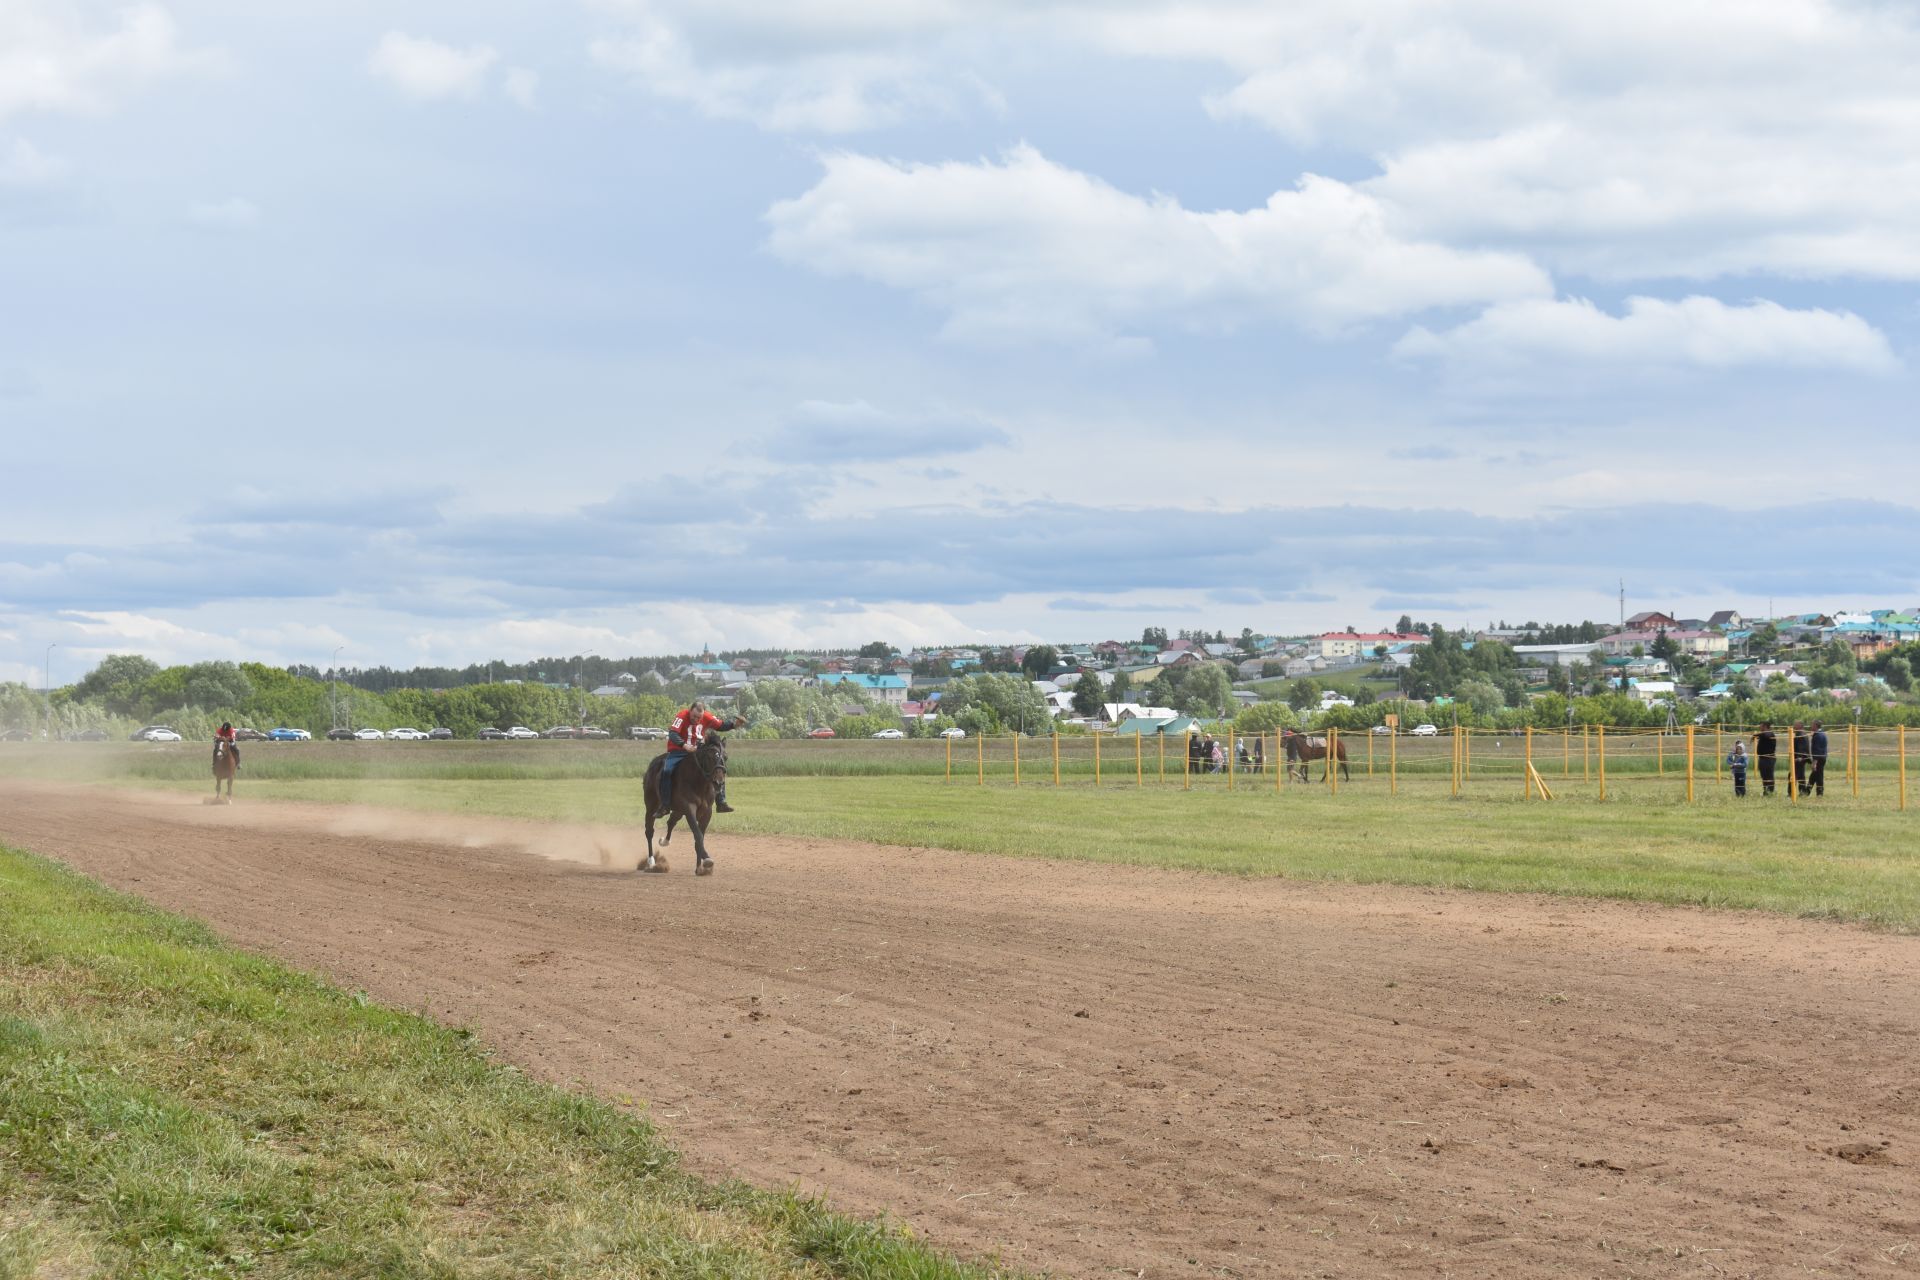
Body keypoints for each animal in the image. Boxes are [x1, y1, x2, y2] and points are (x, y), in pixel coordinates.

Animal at [648, 736, 729, 875]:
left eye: (725, 757)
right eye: (709, 756)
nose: (719, 782)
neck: (699, 783)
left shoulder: (707, 812)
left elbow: (699, 838)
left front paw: (700, 868)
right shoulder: (689, 809)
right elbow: (698, 835)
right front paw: (707, 859)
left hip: (678, 810)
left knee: (671, 822)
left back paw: (664, 841)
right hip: (651, 805)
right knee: (649, 831)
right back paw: (651, 862)